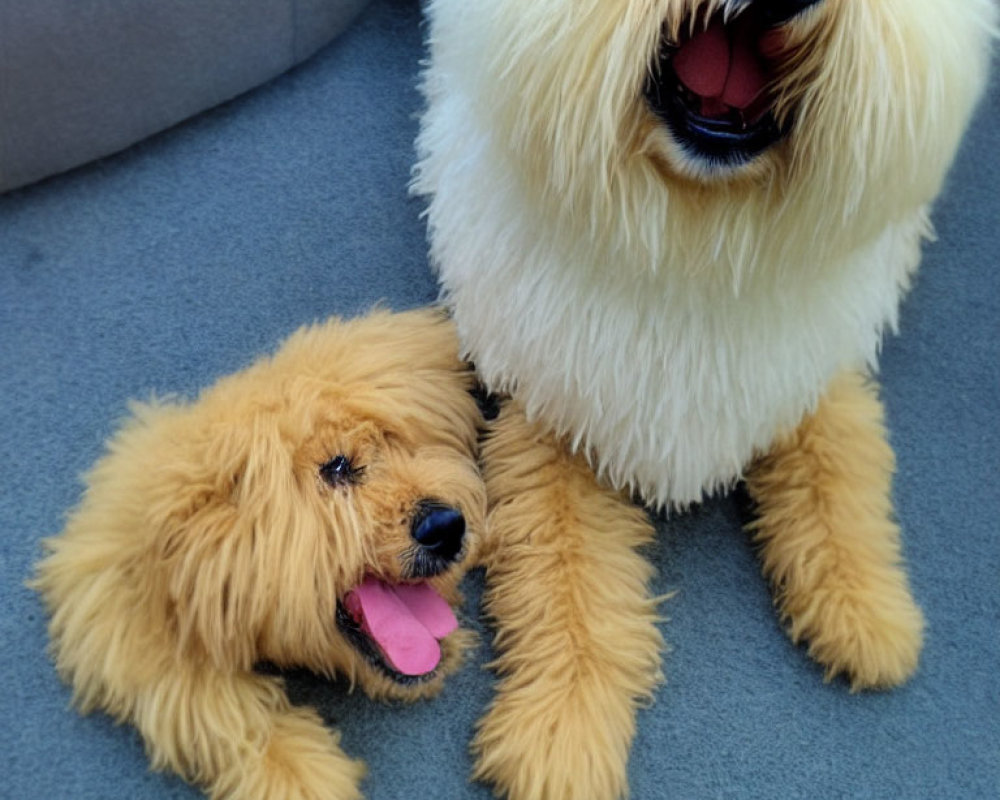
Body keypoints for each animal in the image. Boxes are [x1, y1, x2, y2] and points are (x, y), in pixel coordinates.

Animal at [412, 1, 992, 800]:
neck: (697, 238)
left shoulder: (809, 365)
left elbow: (839, 475)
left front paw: (864, 607)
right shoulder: (557, 412)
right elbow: (568, 591)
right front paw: (563, 729)